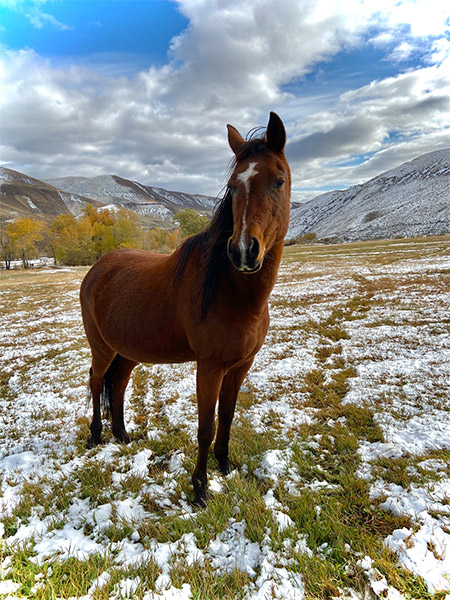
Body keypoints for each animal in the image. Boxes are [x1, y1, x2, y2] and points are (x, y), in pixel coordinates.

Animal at [80, 112, 292, 506]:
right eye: (233, 187)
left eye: (278, 181)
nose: (243, 251)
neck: (231, 291)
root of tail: (98, 268)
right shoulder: (209, 367)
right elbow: (206, 427)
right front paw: (200, 489)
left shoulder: (240, 366)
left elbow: (227, 417)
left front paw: (225, 467)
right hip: (102, 348)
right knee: (97, 379)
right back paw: (96, 436)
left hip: (127, 351)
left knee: (117, 384)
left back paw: (122, 435)